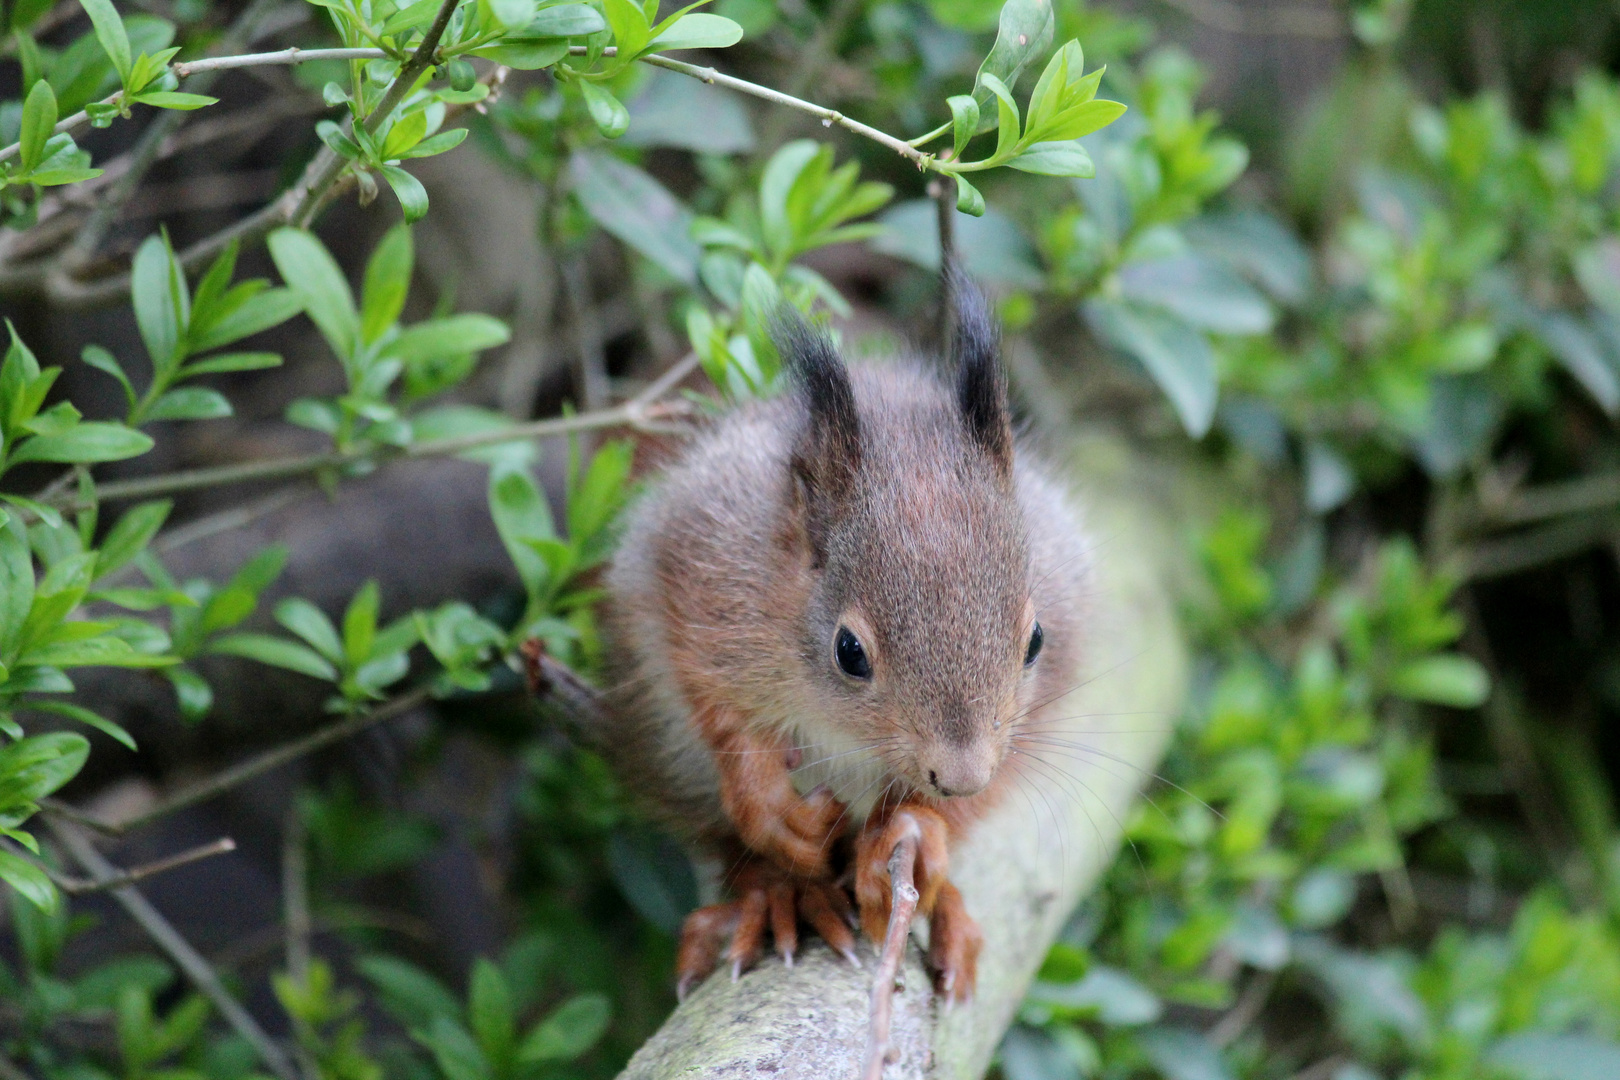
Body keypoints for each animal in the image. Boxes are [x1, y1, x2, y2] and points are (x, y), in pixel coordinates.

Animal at [602, 278, 1095, 1003]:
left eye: (1035, 641)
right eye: (849, 652)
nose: (961, 774)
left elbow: (970, 798)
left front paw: (918, 832)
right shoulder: (697, 574)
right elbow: (713, 698)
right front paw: (767, 800)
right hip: (661, 750)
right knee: (726, 843)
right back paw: (781, 892)